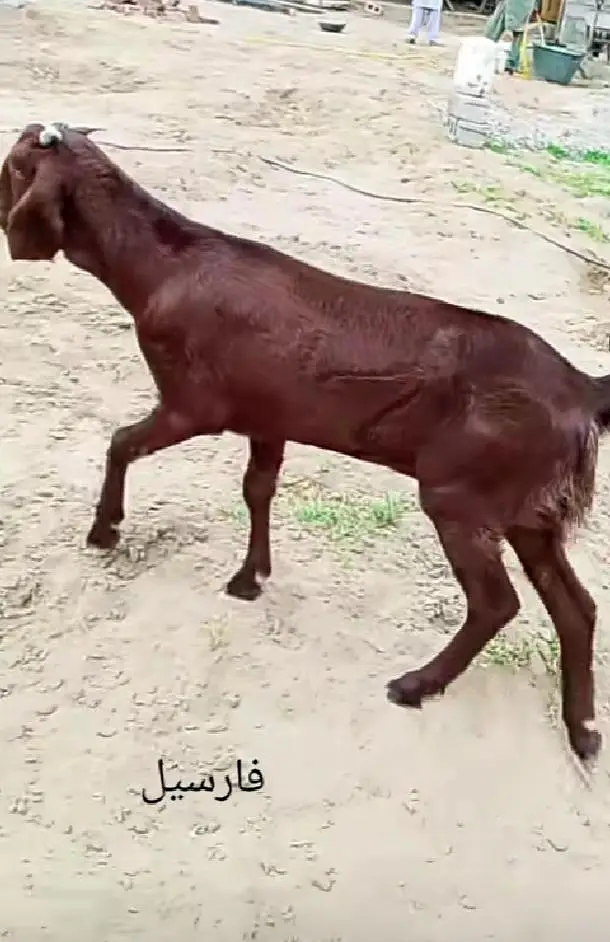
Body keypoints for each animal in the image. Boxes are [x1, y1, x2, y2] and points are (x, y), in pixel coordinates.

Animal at [1, 122, 609, 765]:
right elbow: (258, 488)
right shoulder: (268, 417)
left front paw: (105, 532)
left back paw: (416, 685)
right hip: (530, 510)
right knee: (577, 606)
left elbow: (121, 443)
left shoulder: (194, 404)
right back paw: (582, 729)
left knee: (497, 602)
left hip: (461, 493)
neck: (159, 269)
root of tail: (584, 389)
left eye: (11, 165)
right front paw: (251, 578)